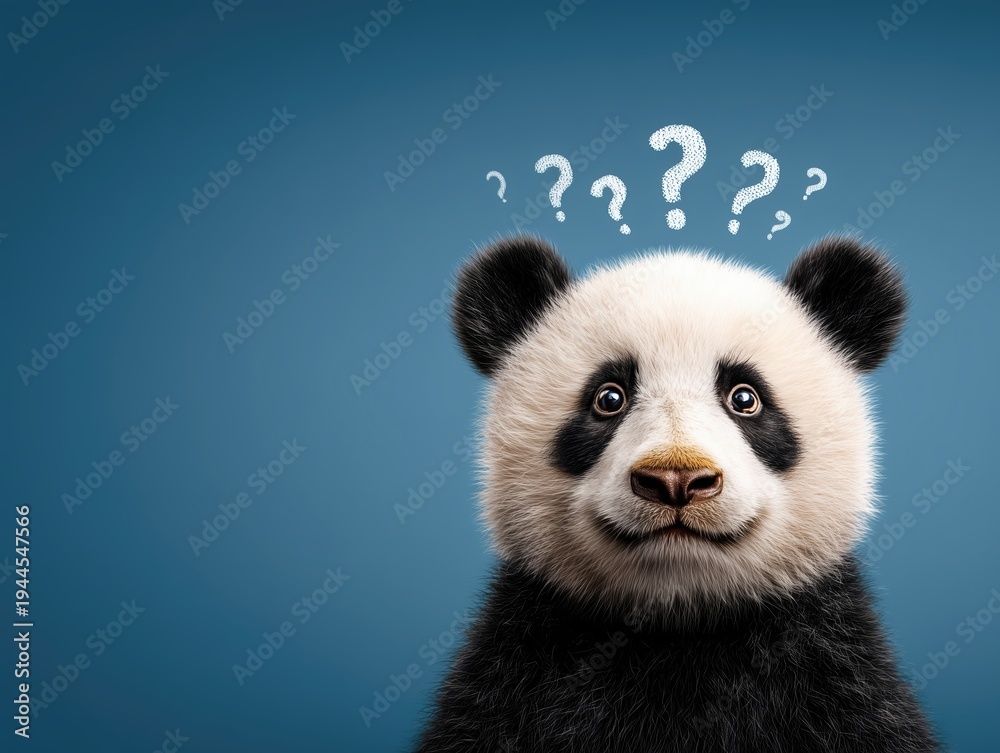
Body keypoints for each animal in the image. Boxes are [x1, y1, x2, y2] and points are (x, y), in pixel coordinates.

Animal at [414, 235, 940, 753]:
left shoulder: (832, 672)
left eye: (745, 398)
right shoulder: (518, 672)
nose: (676, 480)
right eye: (609, 397)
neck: (678, 623)